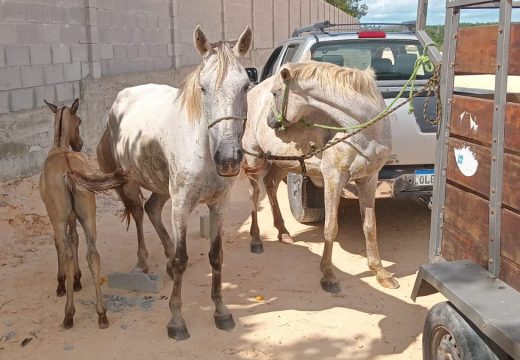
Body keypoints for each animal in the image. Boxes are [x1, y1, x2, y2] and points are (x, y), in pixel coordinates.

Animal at [97, 26, 254, 340]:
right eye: (203, 88)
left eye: (245, 86)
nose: (229, 158)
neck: (204, 148)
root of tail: (121, 99)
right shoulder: (181, 206)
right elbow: (183, 259)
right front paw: (176, 320)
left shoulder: (219, 205)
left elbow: (216, 256)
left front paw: (221, 312)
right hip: (131, 182)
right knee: (138, 213)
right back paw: (144, 262)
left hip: (161, 186)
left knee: (152, 209)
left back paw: (166, 261)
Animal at [242, 59, 400, 292]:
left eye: (275, 93)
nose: (271, 122)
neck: (365, 130)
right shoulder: (333, 179)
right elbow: (330, 228)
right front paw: (328, 275)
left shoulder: (369, 179)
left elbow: (370, 226)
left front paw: (380, 272)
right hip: (255, 157)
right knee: (254, 195)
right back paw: (255, 240)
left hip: (284, 161)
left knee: (270, 185)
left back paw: (283, 232)